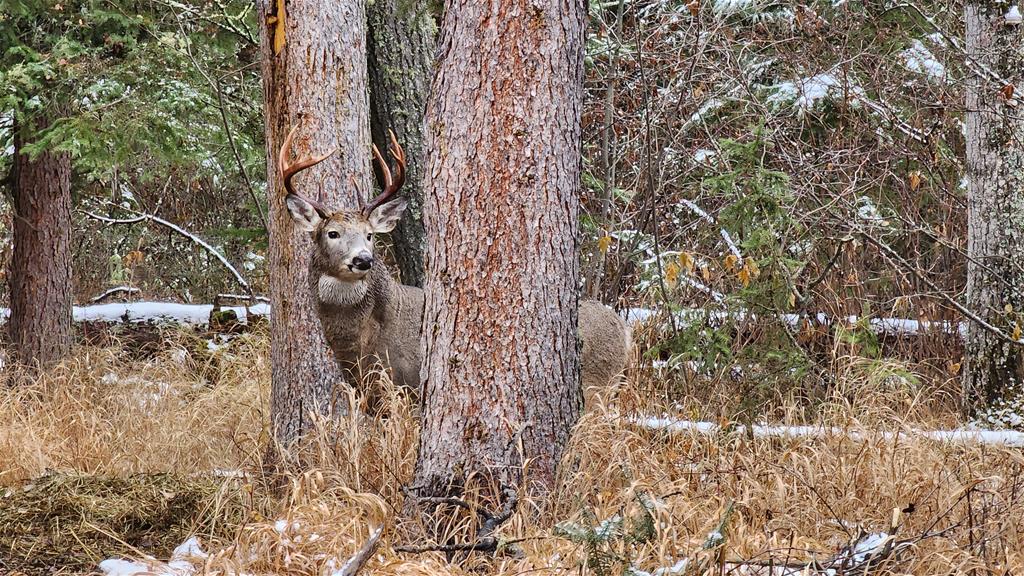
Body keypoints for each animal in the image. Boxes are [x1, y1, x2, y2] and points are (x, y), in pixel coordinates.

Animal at [282, 126, 630, 407]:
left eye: (369, 234)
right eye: (332, 233)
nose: (363, 259)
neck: (359, 342)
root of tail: (625, 330)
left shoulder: (404, 385)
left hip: (598, 383)